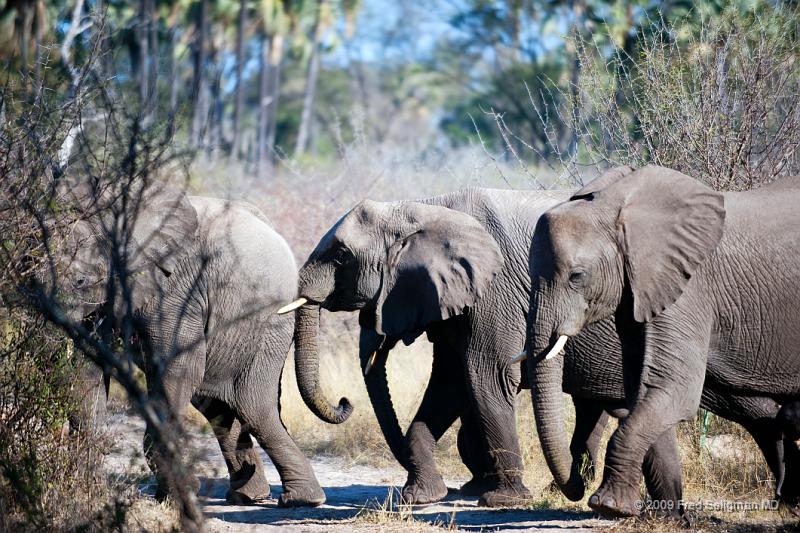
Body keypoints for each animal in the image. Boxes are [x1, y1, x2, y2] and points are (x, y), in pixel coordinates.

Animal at [63, 191, 324, 508]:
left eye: (81, 281)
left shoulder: (175, 288)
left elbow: (177, 371)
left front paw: (179, 494)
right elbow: (87, 371)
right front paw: (85, 491)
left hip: (264, 324)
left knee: (252, 405)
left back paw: (302, 500)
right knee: (217, 405)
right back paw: (249, 496)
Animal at [278, 187, 792, 512]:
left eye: (340, 255)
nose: (344, 401)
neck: (425, 205)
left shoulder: (493, 296)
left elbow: (483, 380)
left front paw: (502, 501)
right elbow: (449, 386)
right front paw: (421, 498)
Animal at [524, 164, 800, 516]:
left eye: (576, 277)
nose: (577, 485)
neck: (618, 207)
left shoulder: (689, 287)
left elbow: (673, 389)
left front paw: (610, 507)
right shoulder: (638, 288)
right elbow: (642, 389)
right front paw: (668, 517)